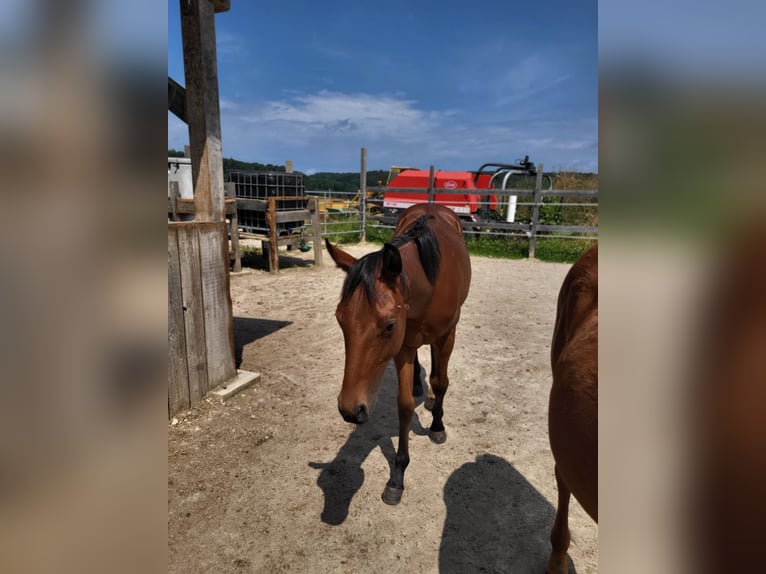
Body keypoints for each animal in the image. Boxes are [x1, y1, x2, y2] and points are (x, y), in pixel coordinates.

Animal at [325, 203, 471, 505]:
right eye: (339, 319)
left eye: (389, 325)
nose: (350, 409)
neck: (430, 283)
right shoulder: (403, 345)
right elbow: (404, 406)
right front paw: (397, 477)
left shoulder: (447, 335)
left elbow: (441, 381)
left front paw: (437, 426)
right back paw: (418, 386)